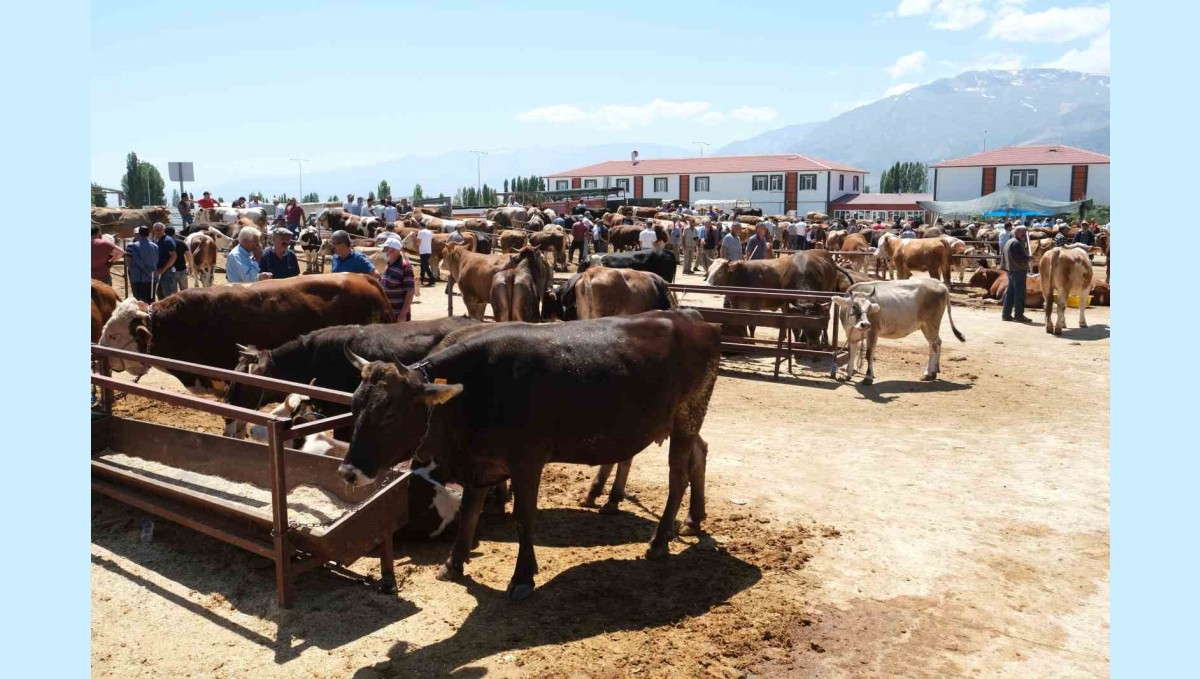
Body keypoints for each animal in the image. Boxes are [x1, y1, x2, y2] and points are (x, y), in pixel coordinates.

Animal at [338, 311, 715, 604]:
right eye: (354, 404)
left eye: (389, 414)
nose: (348, 471)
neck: (476, 389)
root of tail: (693, 319)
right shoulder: (481, 463)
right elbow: (470, 512)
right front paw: (454, 563)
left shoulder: (527, 462)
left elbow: (524, 517)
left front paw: (522, 577)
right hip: (683, 421)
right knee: (701, 452)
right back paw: (694, 518)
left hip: (686, 417)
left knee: (678, 476)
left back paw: (660, 540)